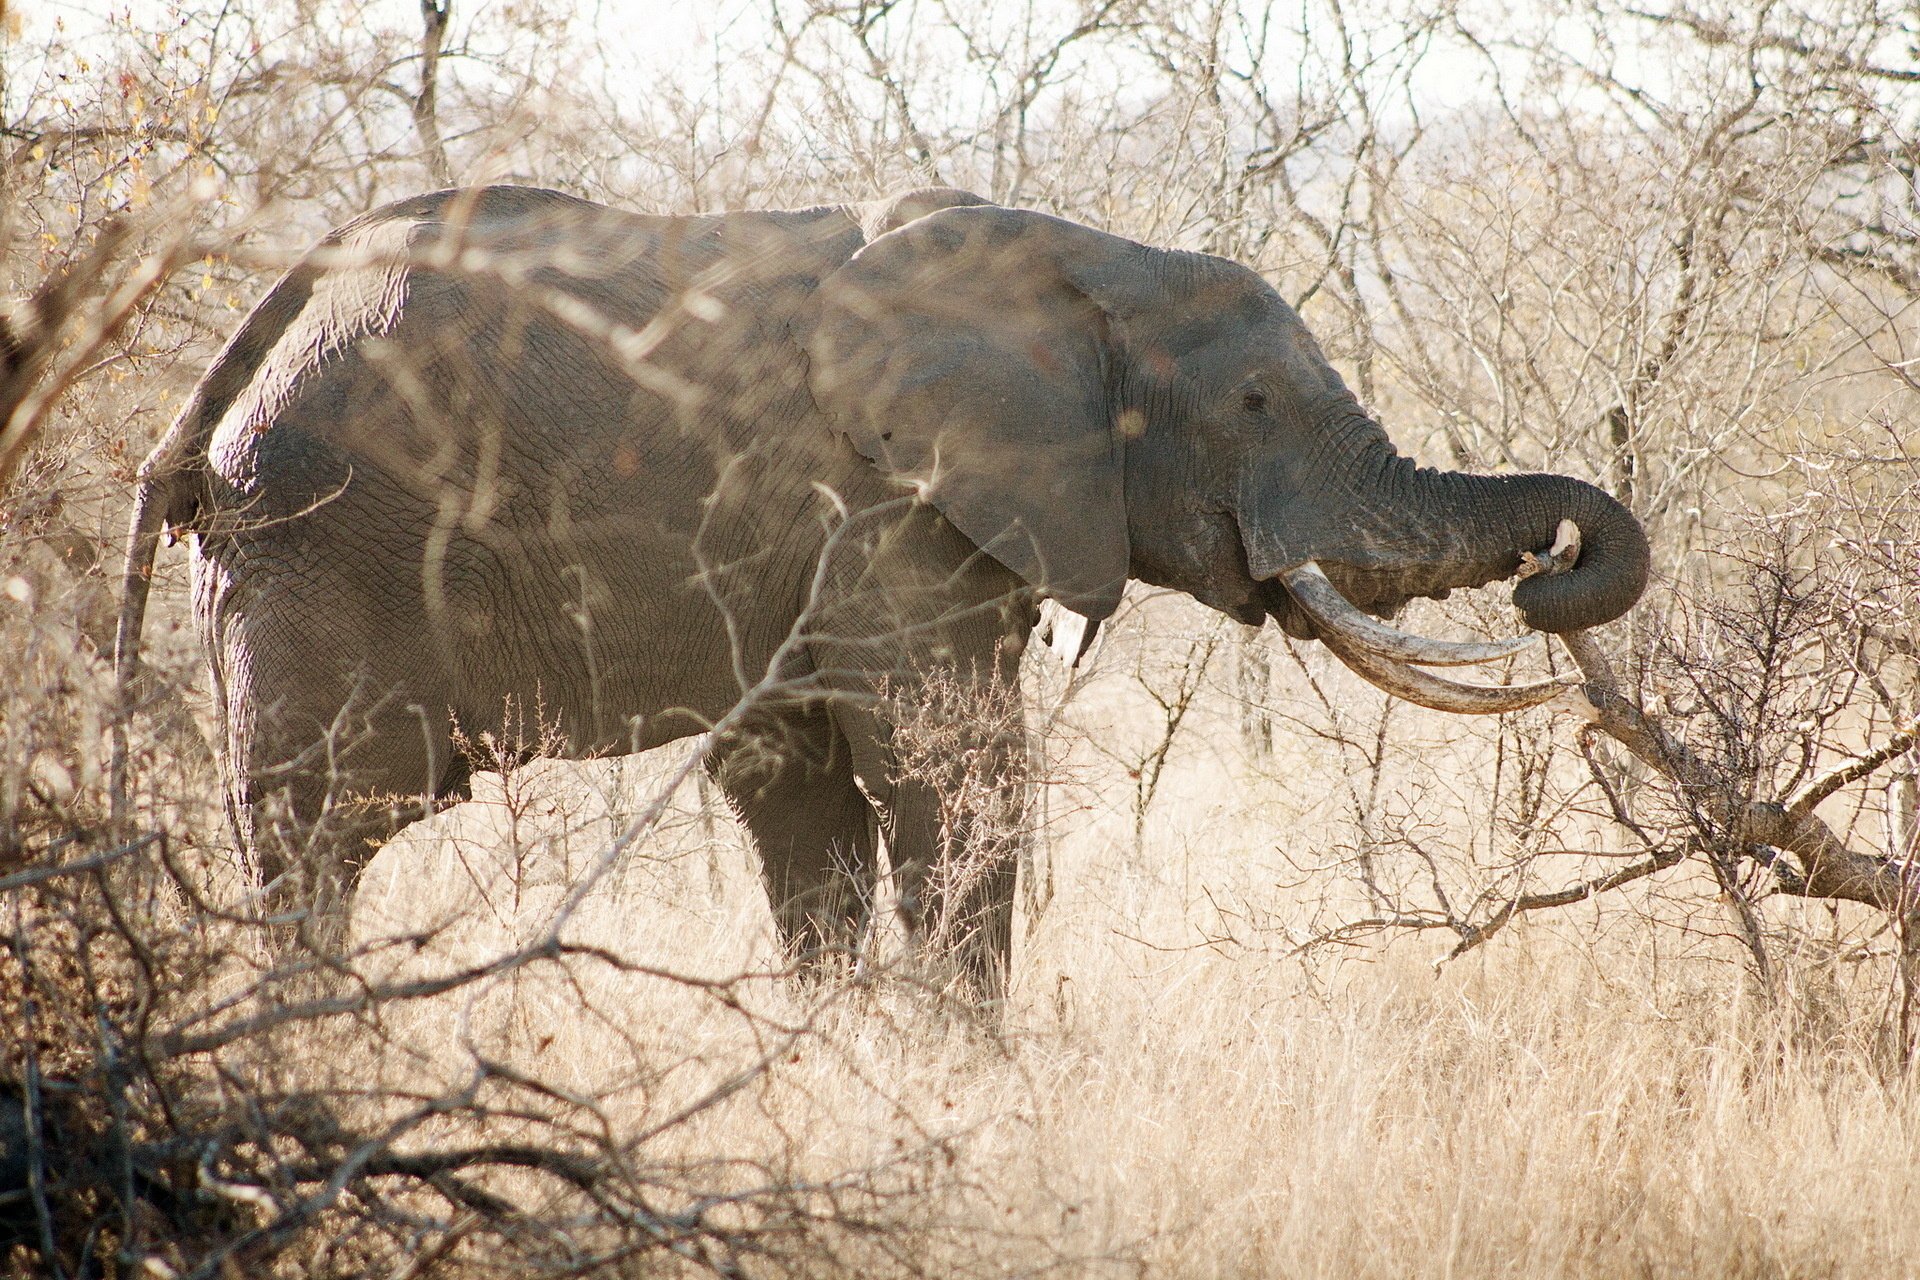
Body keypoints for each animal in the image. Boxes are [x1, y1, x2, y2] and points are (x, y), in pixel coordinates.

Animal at [116, 184, 1649, 993]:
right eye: (1258, 404)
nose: (1549, 574)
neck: (1079, 261)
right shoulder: (886, 516)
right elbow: (944, 771)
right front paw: (975, 1080)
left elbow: (804, 802)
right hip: (323, 545)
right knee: (320, 826)